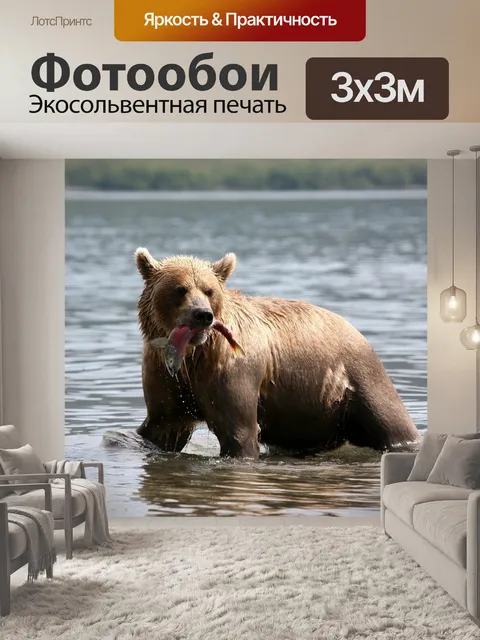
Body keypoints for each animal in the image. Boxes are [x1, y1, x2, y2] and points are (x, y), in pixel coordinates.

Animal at [135, 248, 420, 459]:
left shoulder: (231, 370)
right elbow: (163, 426)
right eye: (180, 289)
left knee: (392, 422)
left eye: (209, 290)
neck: (192, 356)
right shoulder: (165, 374)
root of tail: (356, 330)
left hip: (360, 377)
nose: (203, 315)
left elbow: (238, 430)